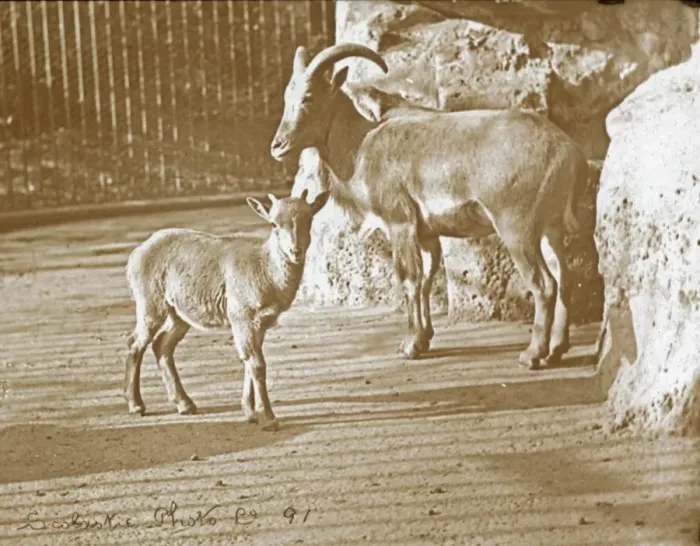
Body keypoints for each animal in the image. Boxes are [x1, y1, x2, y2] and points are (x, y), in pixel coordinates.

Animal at [123, 189, 330, 431]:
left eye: (309, 218)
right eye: (274, 224)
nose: (295, 251)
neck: (266, 272)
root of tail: (134, 255)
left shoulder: (261, 322)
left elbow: (249, 361)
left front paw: (250, 412)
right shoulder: (241, 314)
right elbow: (256, 364)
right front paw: (268, 418)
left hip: (179, 313)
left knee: (162, 344)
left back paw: (185, 404)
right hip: (150, 302)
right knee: (136, 342)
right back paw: (136, 405)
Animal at [270, 43, 589, 370]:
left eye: (309, 97)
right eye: (287, 97)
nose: (278, 146)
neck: (361, 146)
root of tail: (570, 153)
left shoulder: (400, 223)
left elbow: (409, 279)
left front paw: (409, 345)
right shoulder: (426, 233)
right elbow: (425, 279)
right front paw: (424, 339)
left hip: (517, 228)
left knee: (544, 284)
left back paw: (532, 354)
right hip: (550, 227)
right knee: (564, 278)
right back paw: (556, 349)